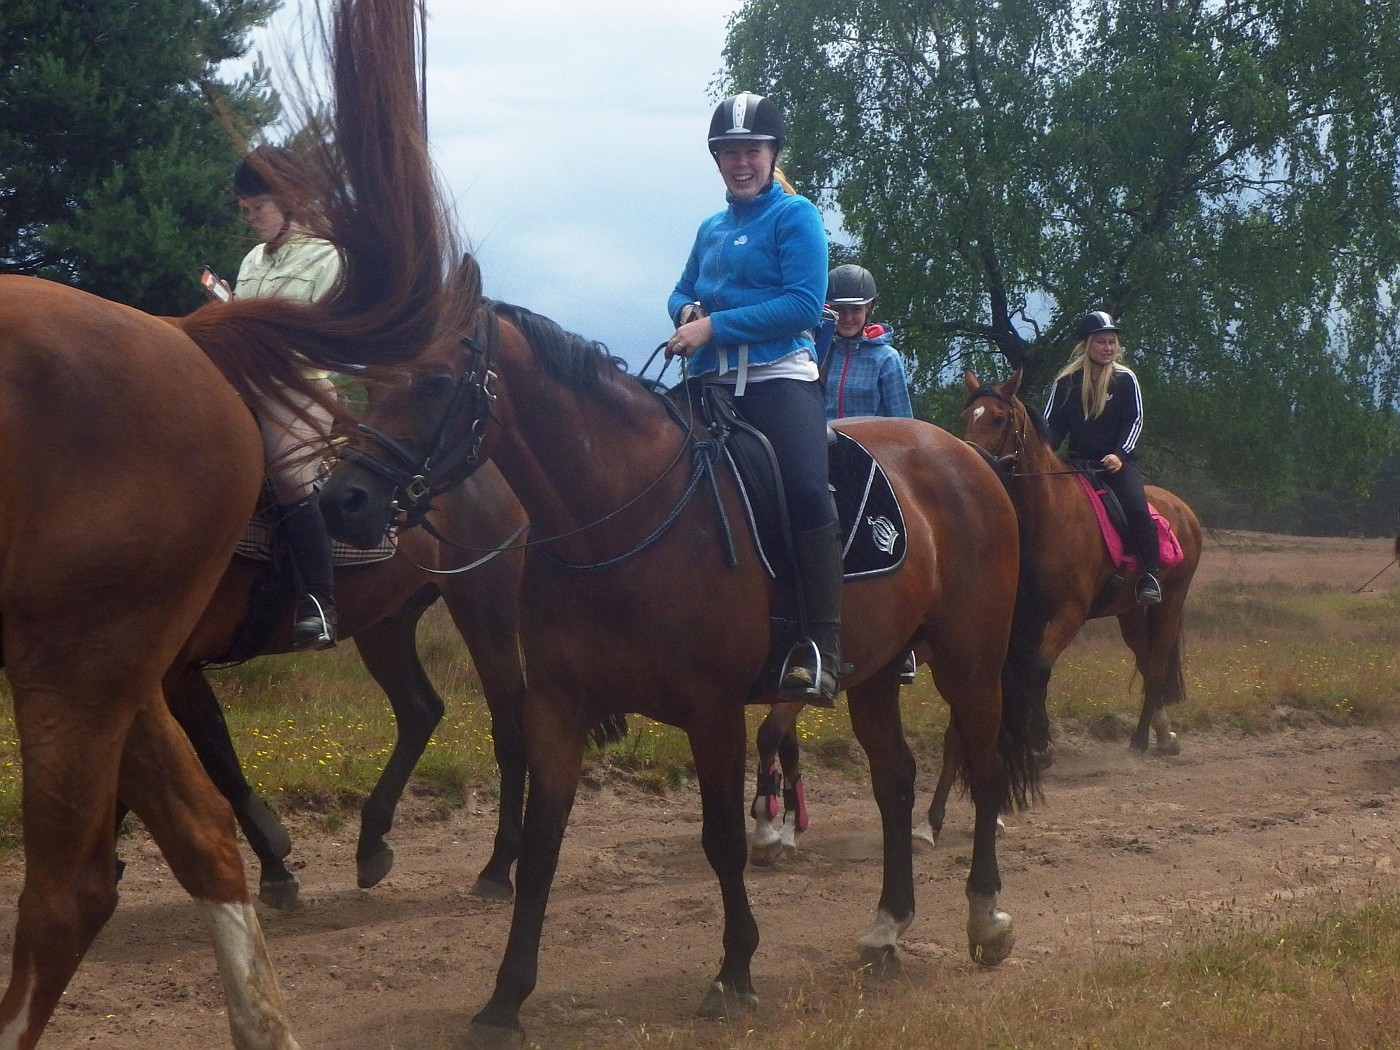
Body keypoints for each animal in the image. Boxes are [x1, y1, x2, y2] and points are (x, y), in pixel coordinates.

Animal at [317, 294, 1041, 1047]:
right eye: (371, 379)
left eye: (433, 380)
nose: (343, 501)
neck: (621, 516)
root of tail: (965, 457)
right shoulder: (556, 707)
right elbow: (543, 845)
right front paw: (505, 998)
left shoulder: (712, 713)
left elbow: (722, 841)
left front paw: (734, 974)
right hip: (874, 673)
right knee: (894, 781)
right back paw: (887, 927)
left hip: (969, 662)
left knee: (986, 772)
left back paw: (986, 918)